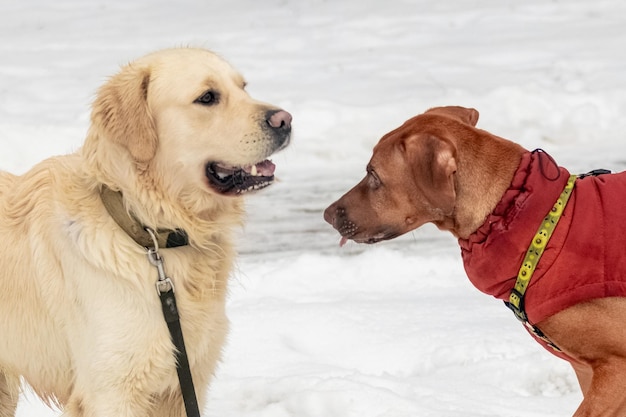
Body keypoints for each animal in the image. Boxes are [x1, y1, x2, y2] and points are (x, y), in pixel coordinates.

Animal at [0, 47, 292, 414]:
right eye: (207, 97)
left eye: (243, 87)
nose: (286, 120)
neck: (147, 233)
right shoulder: (111, 392)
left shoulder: (184, 383)